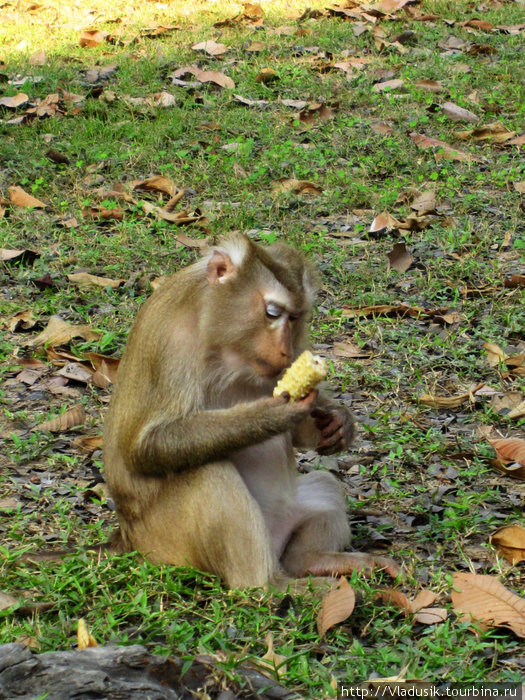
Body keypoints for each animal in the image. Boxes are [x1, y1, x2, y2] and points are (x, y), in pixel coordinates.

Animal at [103, 235, 398, 592]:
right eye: (272, 313)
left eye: (295, 318)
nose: (285, 350)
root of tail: (127, 538)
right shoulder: (169, 343)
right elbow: (145, 447)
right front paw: (271, 415)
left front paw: (338, 420)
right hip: (165, 543)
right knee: (206, 472)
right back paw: (273, 588)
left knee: (324, 486)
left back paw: (314, 561)